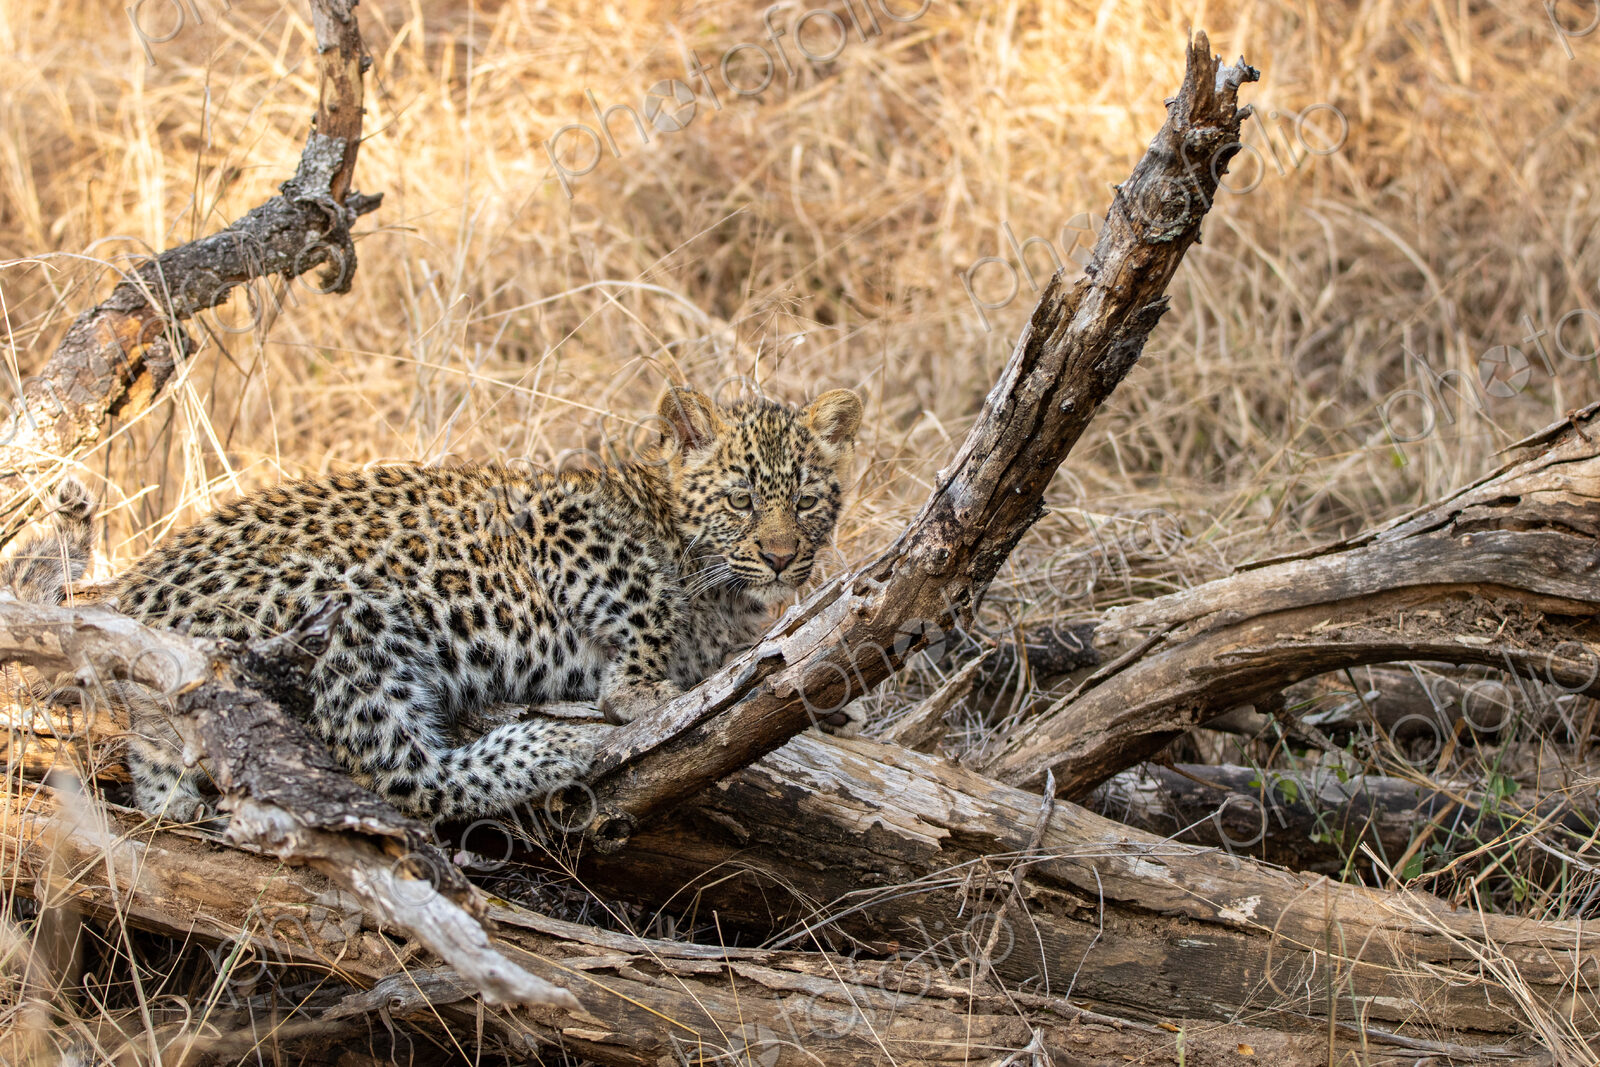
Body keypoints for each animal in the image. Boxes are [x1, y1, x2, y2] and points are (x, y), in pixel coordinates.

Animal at [2, 386, 863, 824]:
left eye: (807, 498)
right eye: (742, 498)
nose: (782, 555)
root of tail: (131, 599)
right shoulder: (554, 517)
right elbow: (643, 592)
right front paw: (642, 686)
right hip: (345, 613)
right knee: (401, 774)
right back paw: (553, 746)